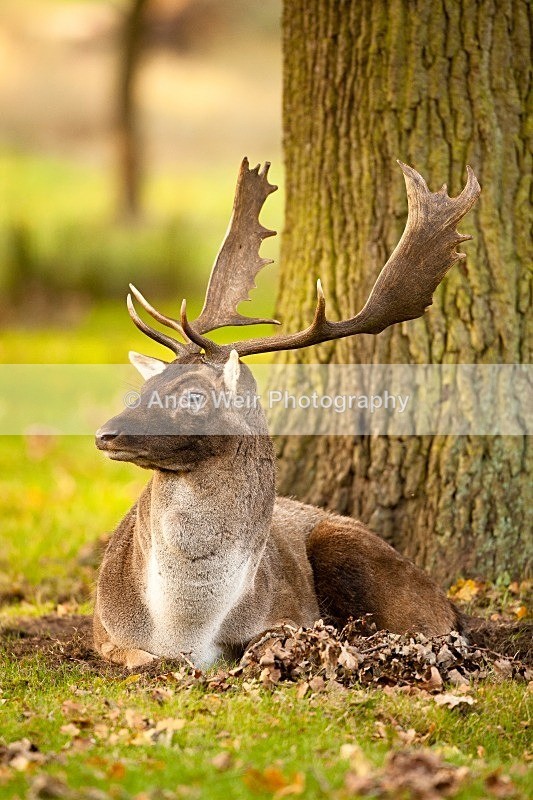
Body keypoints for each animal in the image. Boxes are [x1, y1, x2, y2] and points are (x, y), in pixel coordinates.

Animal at [94, 158, 480, 669]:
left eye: (195, 396)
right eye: (145, 386)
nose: (105, 434)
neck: (185, 628)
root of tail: (453, 604)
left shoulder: (290, 614)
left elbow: (266, 643)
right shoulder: (101, 630)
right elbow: (143, 659)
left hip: (353, 551)